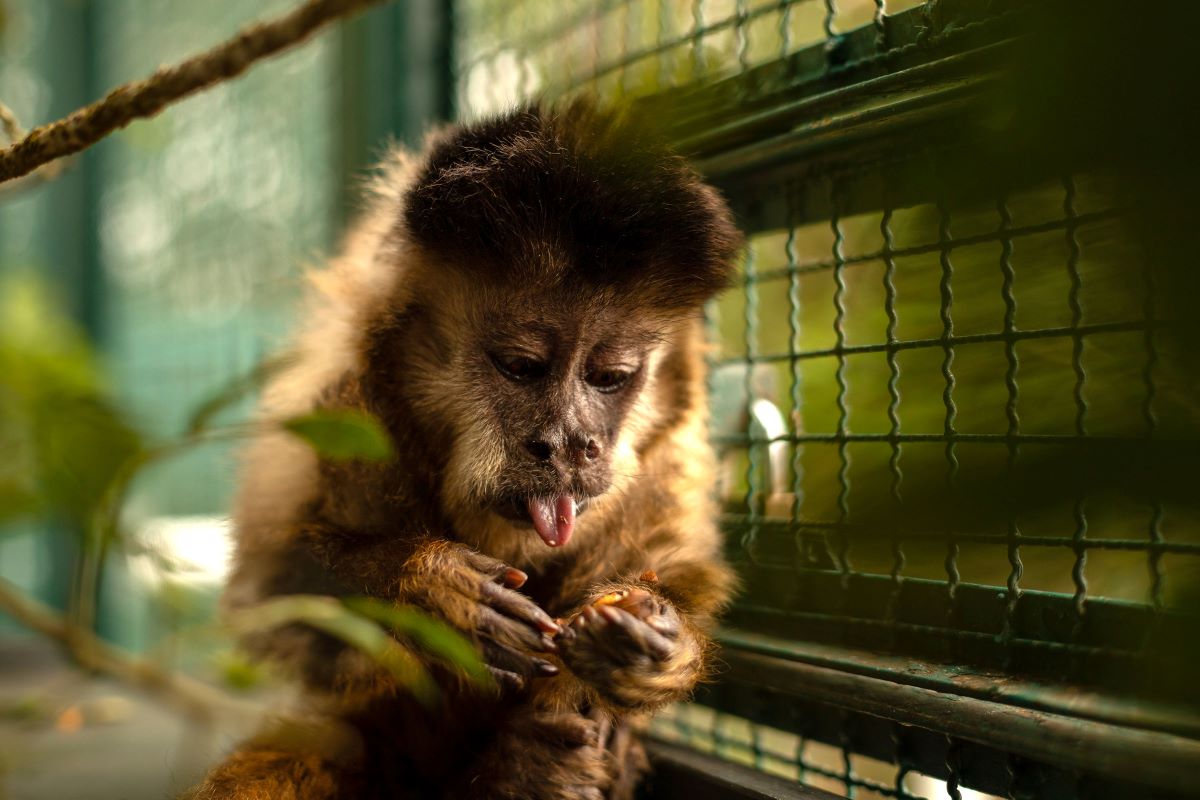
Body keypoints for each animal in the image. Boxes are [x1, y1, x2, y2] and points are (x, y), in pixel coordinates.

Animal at [188, 99, 743, 800]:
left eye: (609, 376)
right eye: (521, 368)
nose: (567, 443)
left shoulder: (673, 451)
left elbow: (676, 567)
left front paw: (654, 642)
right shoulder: (346, 400)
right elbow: (270, 602)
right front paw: (428, 591)